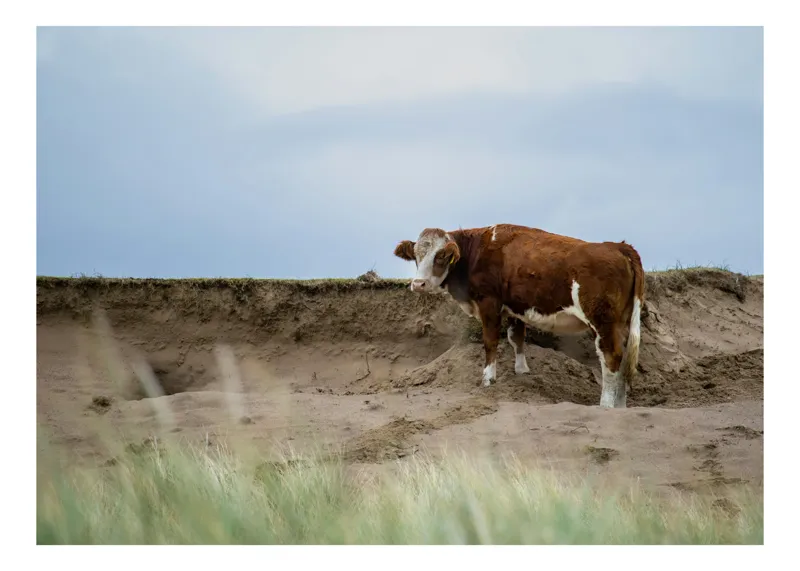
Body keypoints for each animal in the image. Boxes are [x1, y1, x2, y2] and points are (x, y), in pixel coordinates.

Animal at [393, 224, 645, 408]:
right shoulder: (514, 307)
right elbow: (517, 338)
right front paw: (521, 371)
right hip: (621, 322)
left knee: (611, 357)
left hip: (602, 320)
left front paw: (488, 378)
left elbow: (491, 341)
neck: (476, 252)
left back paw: (606, 405)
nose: (418, 284)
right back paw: (620, 405)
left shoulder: (489, 302)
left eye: (441, 256)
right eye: (416, 256)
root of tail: (619, 247)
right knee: (623, 360)